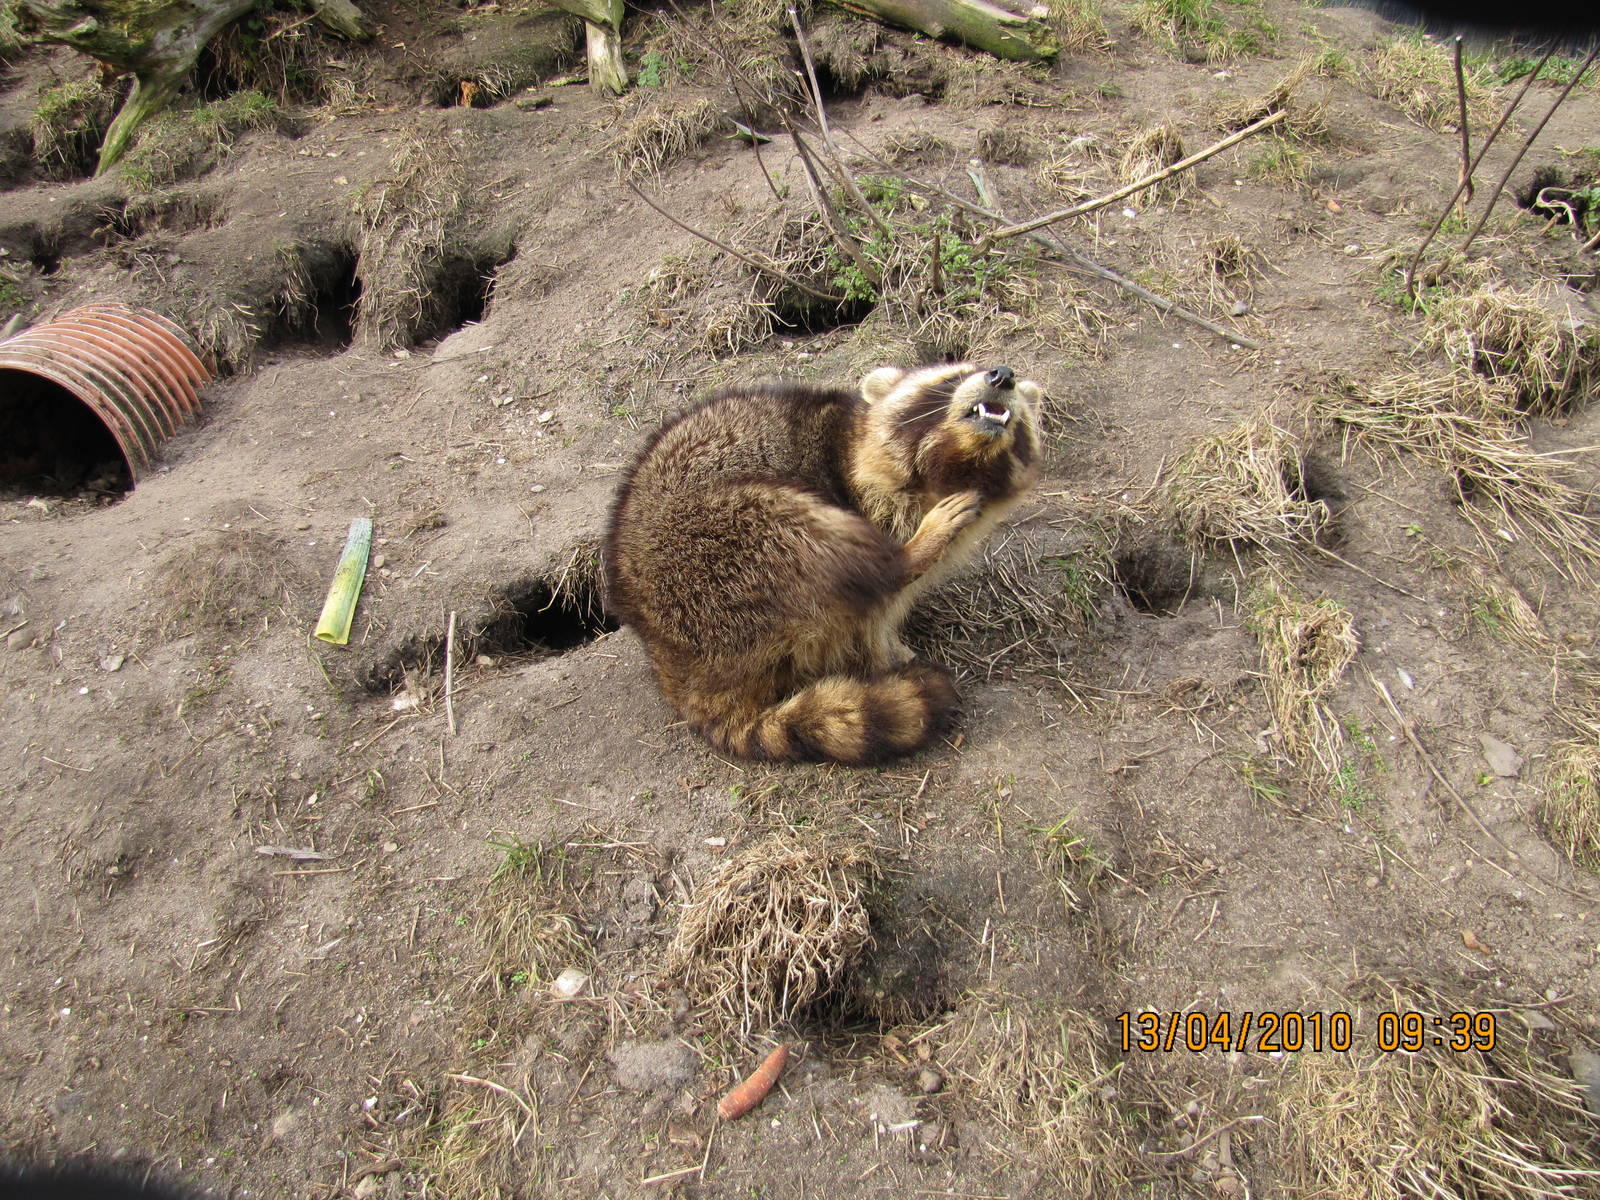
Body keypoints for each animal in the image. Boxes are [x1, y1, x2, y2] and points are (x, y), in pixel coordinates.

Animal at [603, 363, 1042, 766]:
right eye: (953, 377)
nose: (1002, 375)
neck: (956, 467)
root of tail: (676, 665)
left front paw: (893, 641)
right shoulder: (864, 492)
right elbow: (874, 607)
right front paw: (884, 643)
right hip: (713, 552)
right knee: (806, 530)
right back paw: (907, 554)